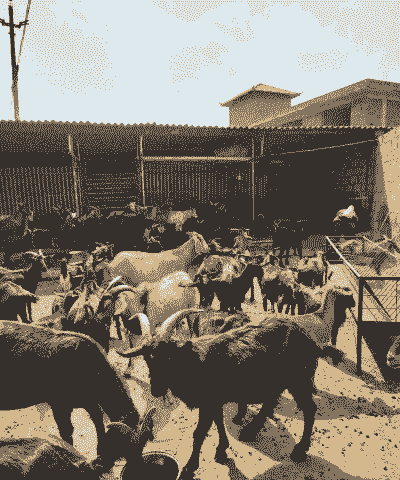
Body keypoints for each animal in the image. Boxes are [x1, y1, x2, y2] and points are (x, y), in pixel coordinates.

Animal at [0, 320, 157, 474]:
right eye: (122, 446)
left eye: (143, 444)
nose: (137, 468)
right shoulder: (59, 403)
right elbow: (66, 432)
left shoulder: (88, 401)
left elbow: (98, 421)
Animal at [117, 309, 345, 479]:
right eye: (147, 359)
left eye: (169, 358)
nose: (156, 389)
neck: (194, 364)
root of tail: (311, 341)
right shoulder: (215, 401)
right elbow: (218, 422)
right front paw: (221, 450)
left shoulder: (208, 402)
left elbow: (199, 433)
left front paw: (190, 467)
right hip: (277, 380)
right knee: (271, 400)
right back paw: (250, 431)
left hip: (298, 379)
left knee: (309, 408)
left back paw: (299, 450)